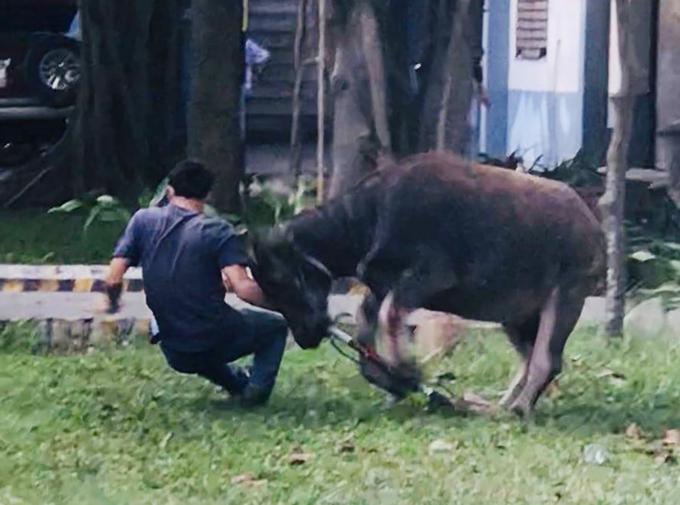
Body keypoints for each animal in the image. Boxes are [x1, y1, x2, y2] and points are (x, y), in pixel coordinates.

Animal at [252, 152, 604, 416]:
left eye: (281, 281)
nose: (305, 338)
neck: (368, 218)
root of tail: (591, 224)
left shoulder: (430, 278)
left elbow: (389, 315)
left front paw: (405, 371)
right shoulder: (379, 287)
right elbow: (368, 322)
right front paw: (391, 381)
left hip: (566, 297)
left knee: (547, 361)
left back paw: (517, 409)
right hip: (517, 317)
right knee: (528, 359)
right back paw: (498, 406)